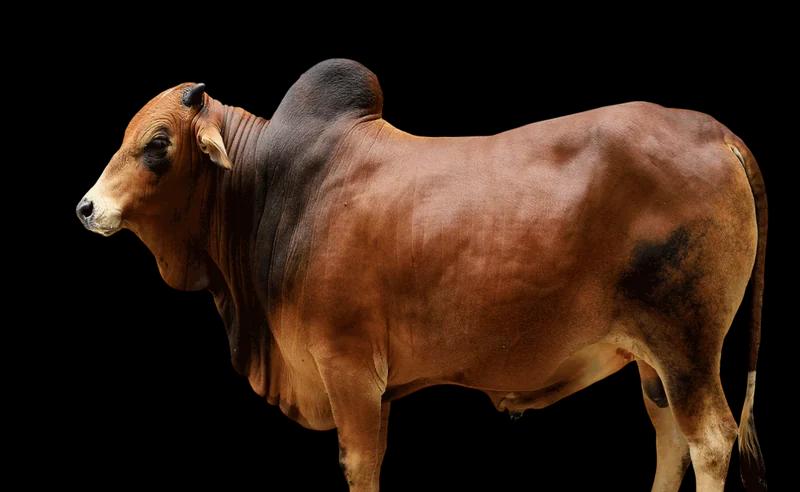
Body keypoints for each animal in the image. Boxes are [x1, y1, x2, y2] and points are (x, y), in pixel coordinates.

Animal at [77, 59, 767, 492]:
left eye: (158, 143)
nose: (86, 208)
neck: (269, 189)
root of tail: (716, 133)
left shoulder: (350, 367)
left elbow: (360, 465)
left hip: (687, 346)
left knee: (710, 441)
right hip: (652, 361)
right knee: (670, 439)